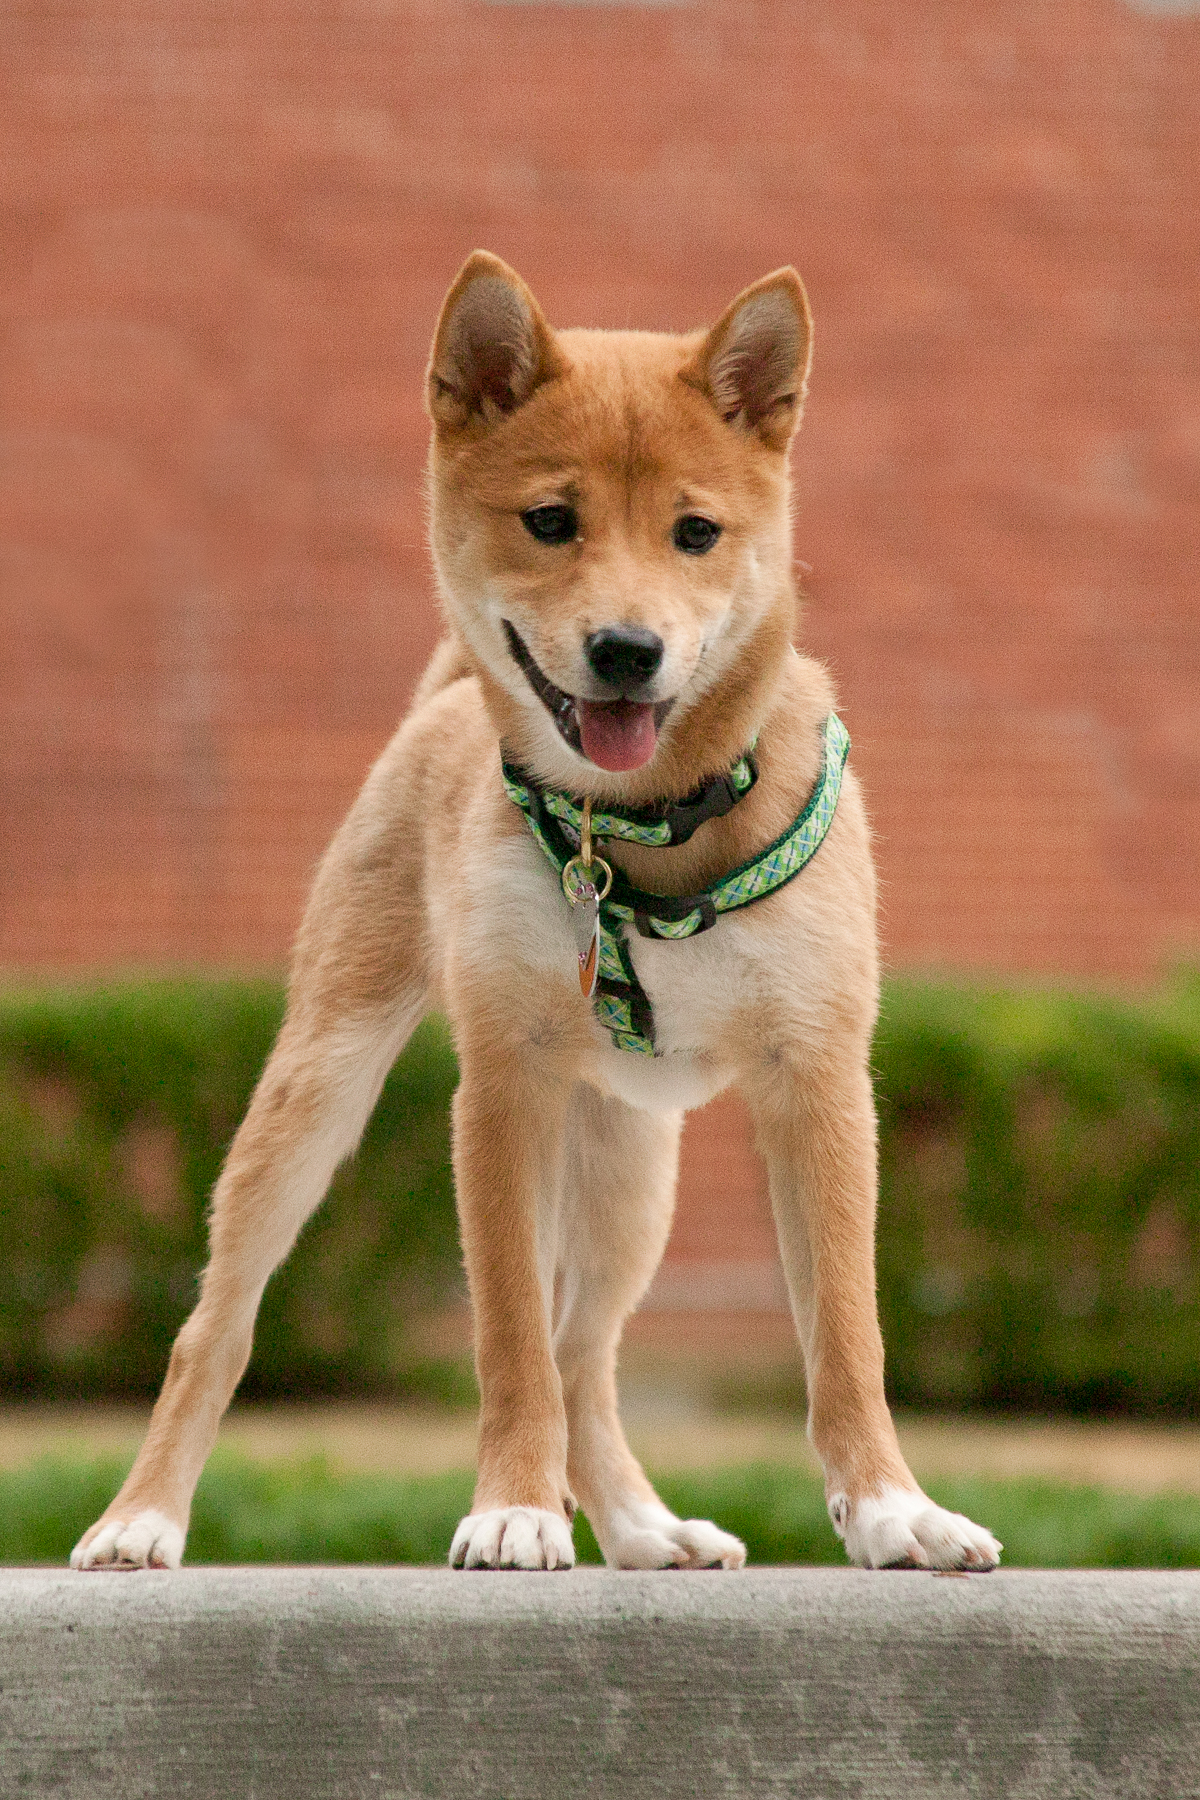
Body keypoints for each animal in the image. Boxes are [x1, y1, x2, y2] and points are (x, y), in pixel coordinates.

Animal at [72, 253, 1007, 1576]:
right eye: (551, 521)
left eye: (695, 533)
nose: (626, 650)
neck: (644, 834)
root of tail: (442, 700)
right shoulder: (503, 1086)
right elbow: (507, 1335)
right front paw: (512, 1507)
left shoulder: (820, 1080)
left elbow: (846, 1333)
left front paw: (891, 1511)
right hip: (321, 1086)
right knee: (223, 1327)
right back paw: (140, 1519)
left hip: (630, 1171)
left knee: (588, 1357)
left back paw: (645, 1529)